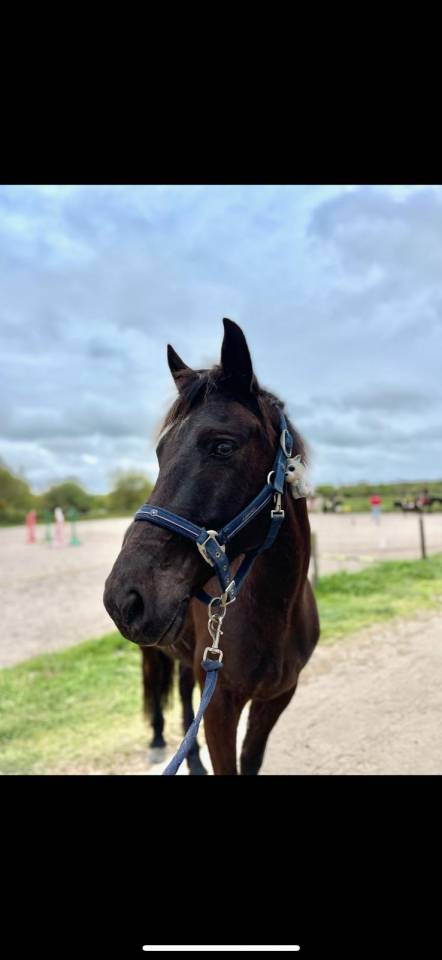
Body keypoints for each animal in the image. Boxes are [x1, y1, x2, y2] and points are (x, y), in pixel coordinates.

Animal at [103, 318, 320, 775]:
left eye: (222, 445)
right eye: (160, 452)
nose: (124, 597)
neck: (276, 612)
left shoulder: (275, 698)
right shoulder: (220, 708)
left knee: (186, 691)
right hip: (155, 652)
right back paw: (158, 742)